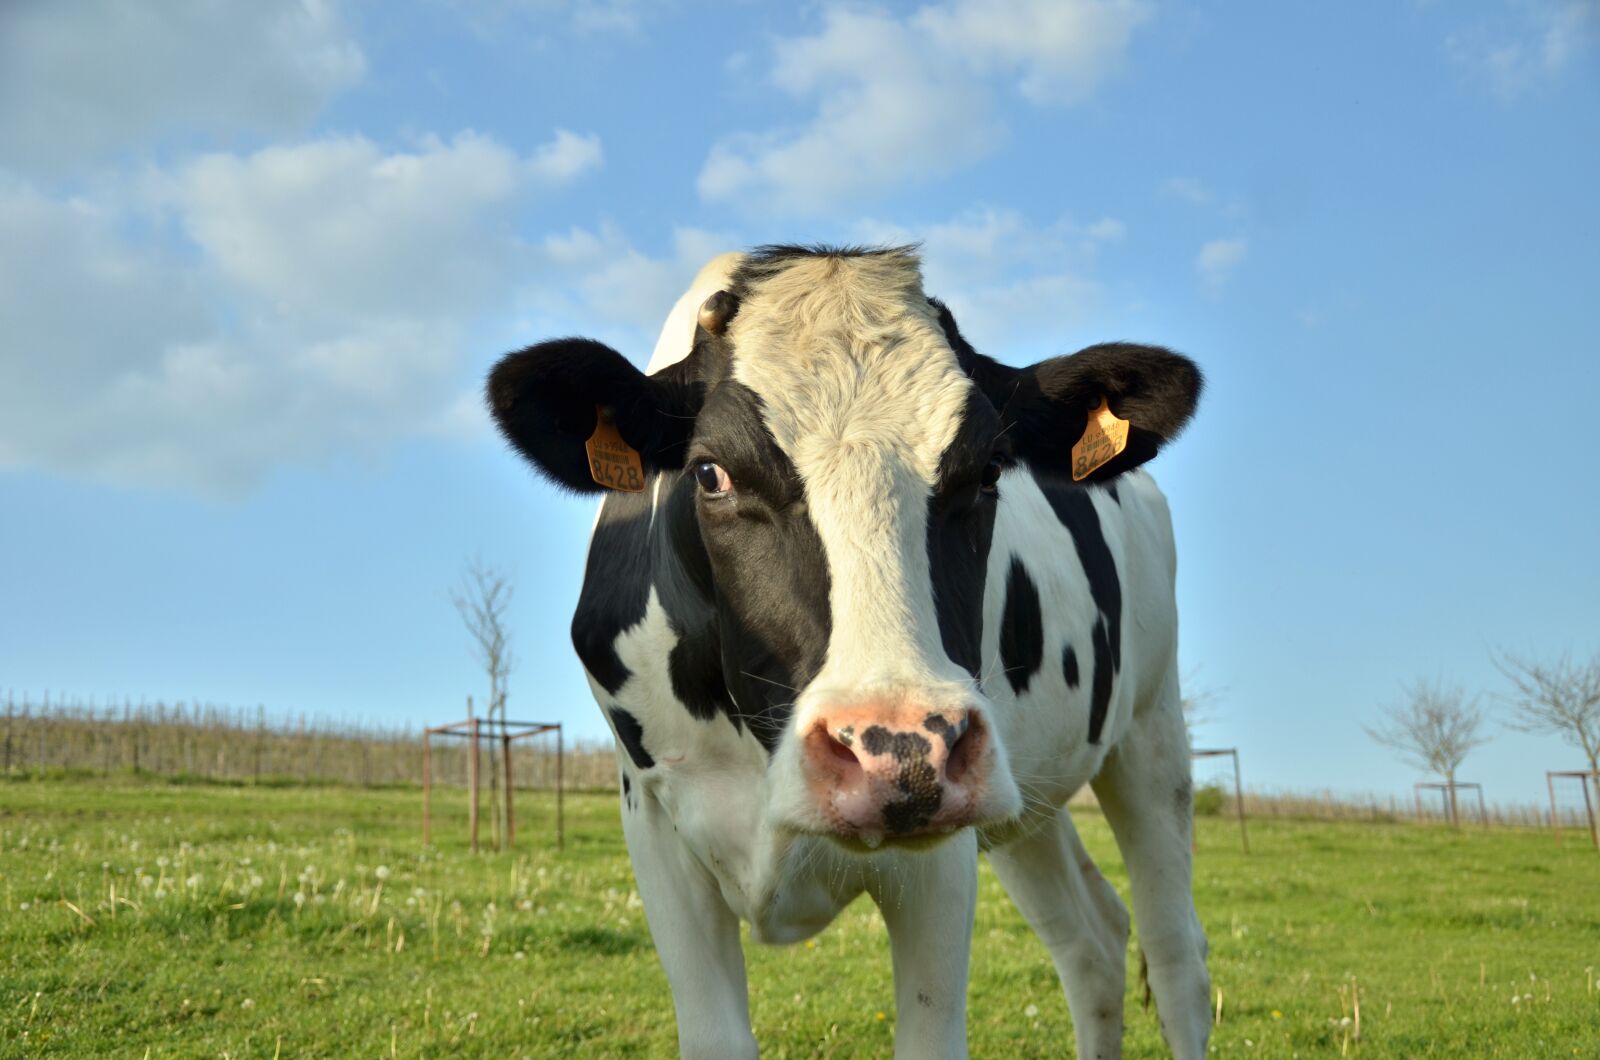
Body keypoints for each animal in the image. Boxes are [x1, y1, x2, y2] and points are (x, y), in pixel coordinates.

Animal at [487, 245, 1209, 1059]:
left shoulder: (938, 854)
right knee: (1091, 940)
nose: (897, 749)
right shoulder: (654, 826)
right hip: (1025, 792)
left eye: (990, 469)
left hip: (1148, 731)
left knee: (1175, 957)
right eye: (710, 472)